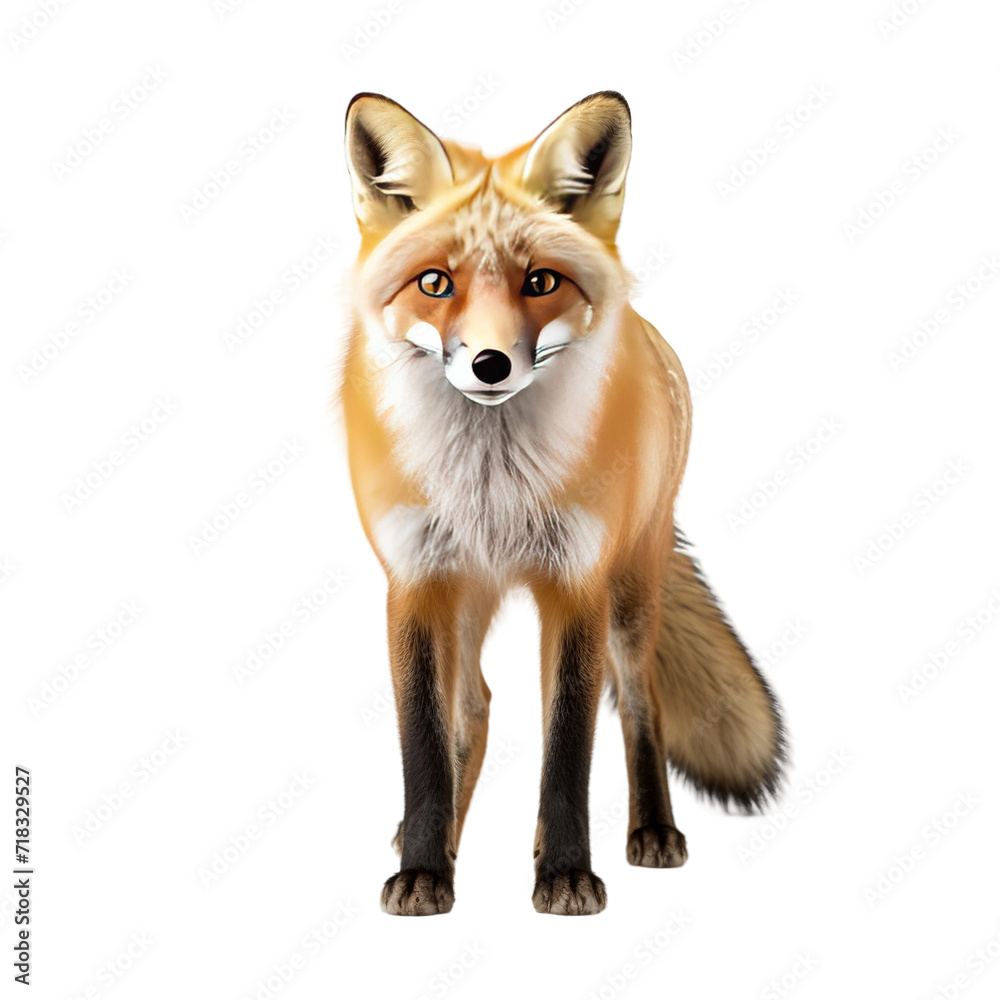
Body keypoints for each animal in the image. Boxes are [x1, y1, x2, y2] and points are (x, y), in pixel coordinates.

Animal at [338, 91, 786, 916]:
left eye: (541, 282)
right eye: (435, 284)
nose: (489, 363)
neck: (490, 485)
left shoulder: (577, 581)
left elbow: (569, 746)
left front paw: (567, 874)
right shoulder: (415, 582)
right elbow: (423, 741)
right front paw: (424, 869)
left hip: (631, 592)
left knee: (639, 703)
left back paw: (651, 832)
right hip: (470, 597)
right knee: (474, 705)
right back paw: (445, 840)